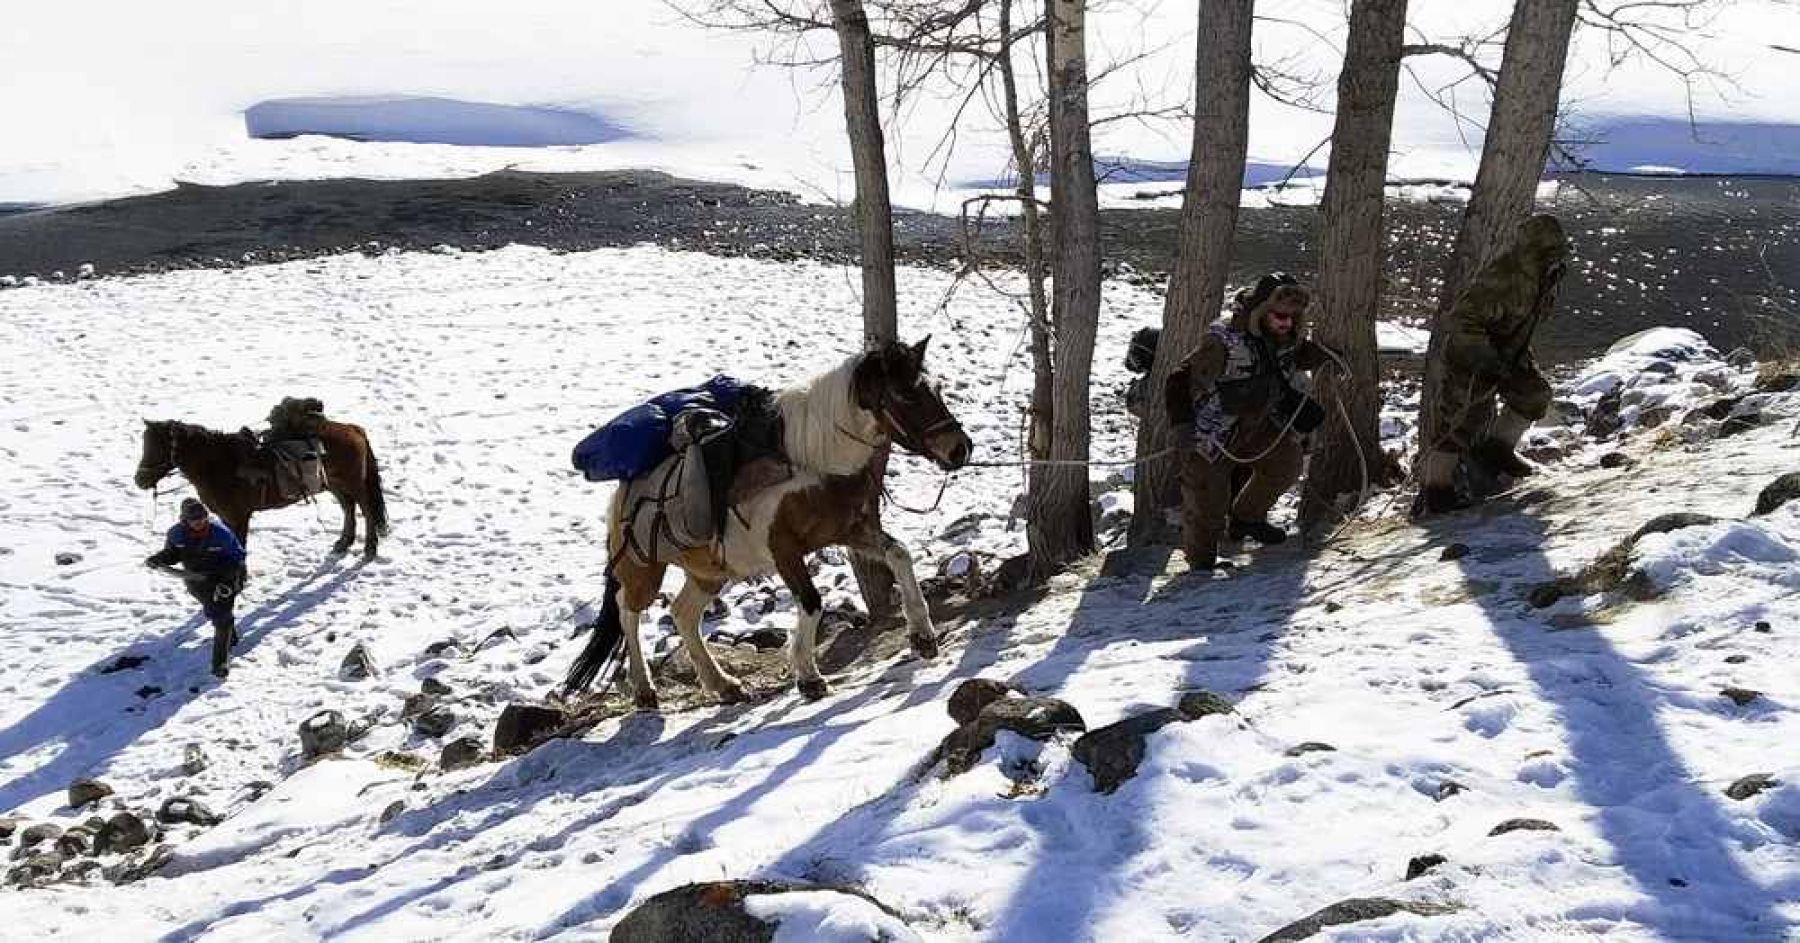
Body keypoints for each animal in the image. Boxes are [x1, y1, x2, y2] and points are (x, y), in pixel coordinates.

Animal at [137, 415, 394, 557]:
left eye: (156, 446)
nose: (139, 480)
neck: (219, 464)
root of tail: (353, 428)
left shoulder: (239, 518)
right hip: (334, 484)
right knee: (348, 508)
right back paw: (343, 542)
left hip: (354, 483)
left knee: (367, 509)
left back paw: (370, 548)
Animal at [568, 338, 979, 705]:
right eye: (905, 395)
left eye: (936, 389)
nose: (959, 448)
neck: (813, 461)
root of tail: (623, 489)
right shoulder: (784, 551)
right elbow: (812, 603)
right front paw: (809, 678)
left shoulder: (854, 531)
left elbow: (900, 554)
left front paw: (923, 637)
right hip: (645, 569)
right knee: (627, 611)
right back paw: (644, 690)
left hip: (708, 572)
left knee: (682, 614)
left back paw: (724, 686)